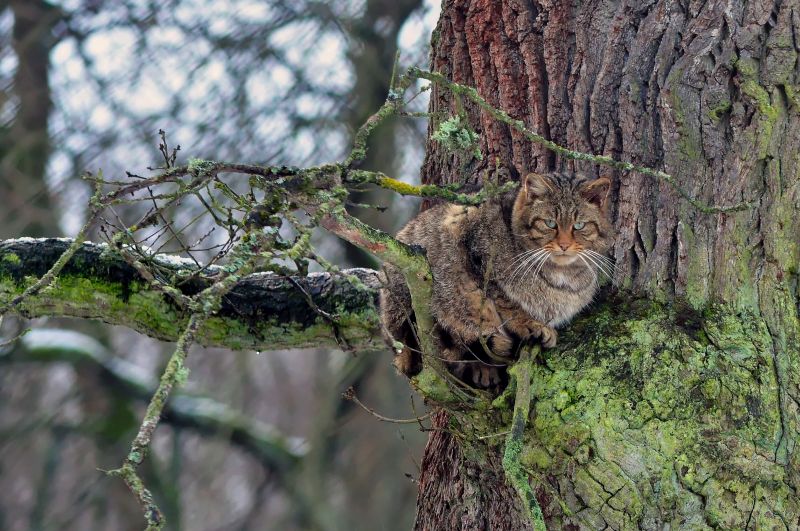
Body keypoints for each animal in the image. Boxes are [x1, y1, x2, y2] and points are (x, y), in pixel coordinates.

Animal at [380, 172, 612, 388]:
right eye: (550, 223)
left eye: (579, 225)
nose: (564, 245)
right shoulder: (471, 240)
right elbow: (505, 301)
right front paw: (529, 323)